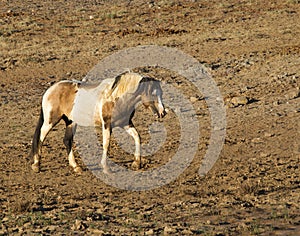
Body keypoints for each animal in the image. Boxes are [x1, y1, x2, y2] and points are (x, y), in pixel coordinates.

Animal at [29, 72, 166, 173]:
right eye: (153, 93)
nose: (163, 112)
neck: (117, 97)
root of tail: (50, 90)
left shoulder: (125, 124)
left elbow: (137, 137)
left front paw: (136, 163)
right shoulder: (107, 125)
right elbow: (106, 144)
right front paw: (105, 168)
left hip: (71, 122)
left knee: (67, 141)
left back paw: (76, 167)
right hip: (50, 121)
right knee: (41, 137)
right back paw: (36, 165)